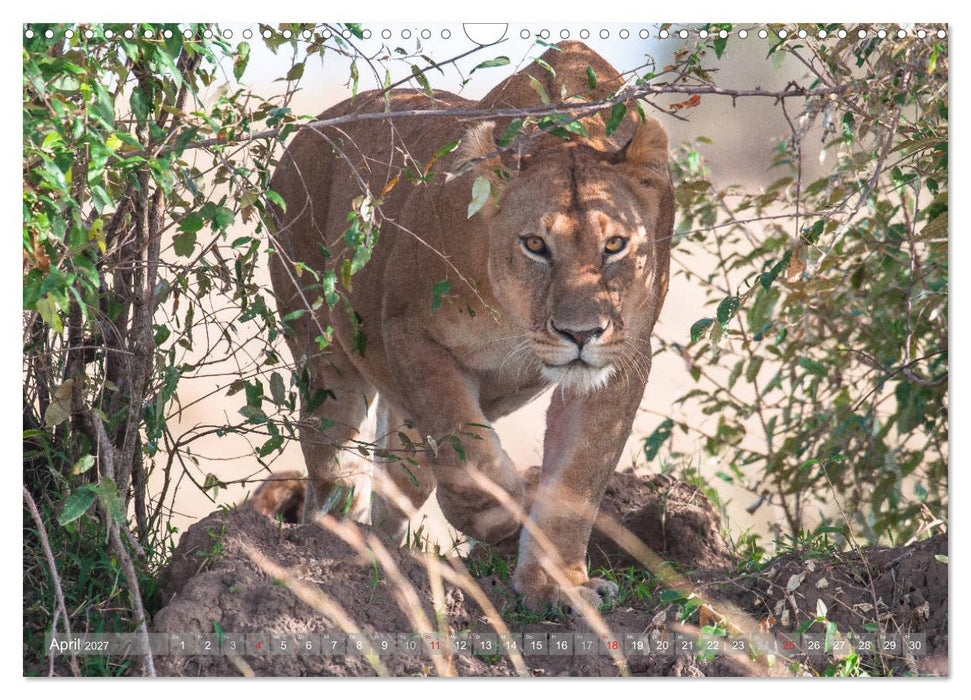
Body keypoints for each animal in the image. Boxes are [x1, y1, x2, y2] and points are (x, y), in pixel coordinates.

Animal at [265, 41, 673, 610]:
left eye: (615, 245)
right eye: (535, 245)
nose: (581, 334)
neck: (516, 318)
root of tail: (309, 130)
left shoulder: (621, 360)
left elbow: (578, 479)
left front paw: (557, 585)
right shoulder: (408, 330)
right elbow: (467, 451)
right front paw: (506, 510)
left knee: (400, 476)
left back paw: (389, 554)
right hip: (324, 354)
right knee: (333, 464)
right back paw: (335, 543)